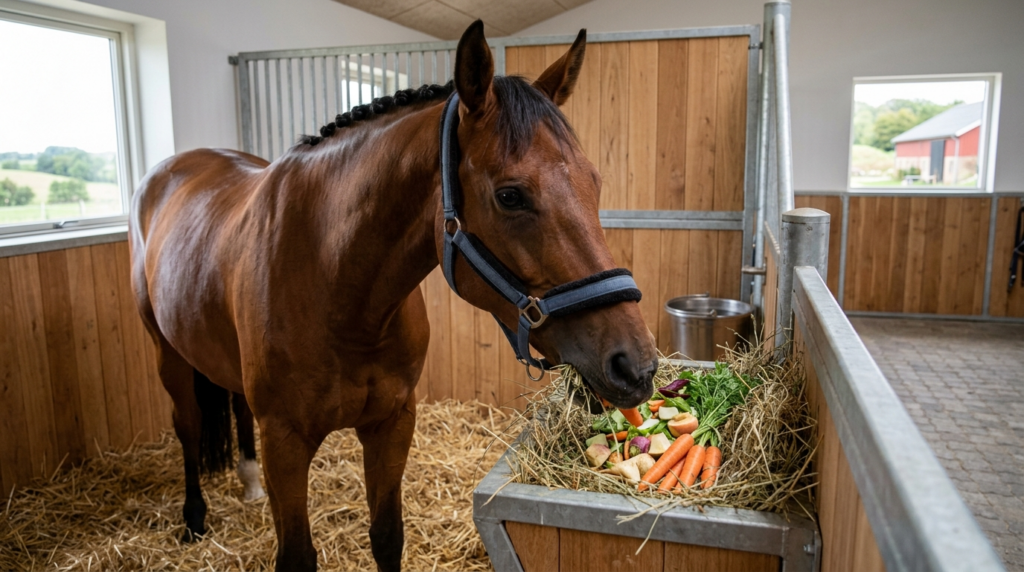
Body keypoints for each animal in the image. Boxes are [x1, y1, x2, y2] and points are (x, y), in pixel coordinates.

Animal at [129, 20, 658, 572]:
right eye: (510, 195)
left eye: (594, 181)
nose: (636, 365)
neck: (337, 289)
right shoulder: (285, 442)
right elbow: (297, 555)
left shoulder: (393, 422)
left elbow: (386, 535)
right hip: (168, 355)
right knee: (188, 425)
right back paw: (193, 516)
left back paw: (249, 483)